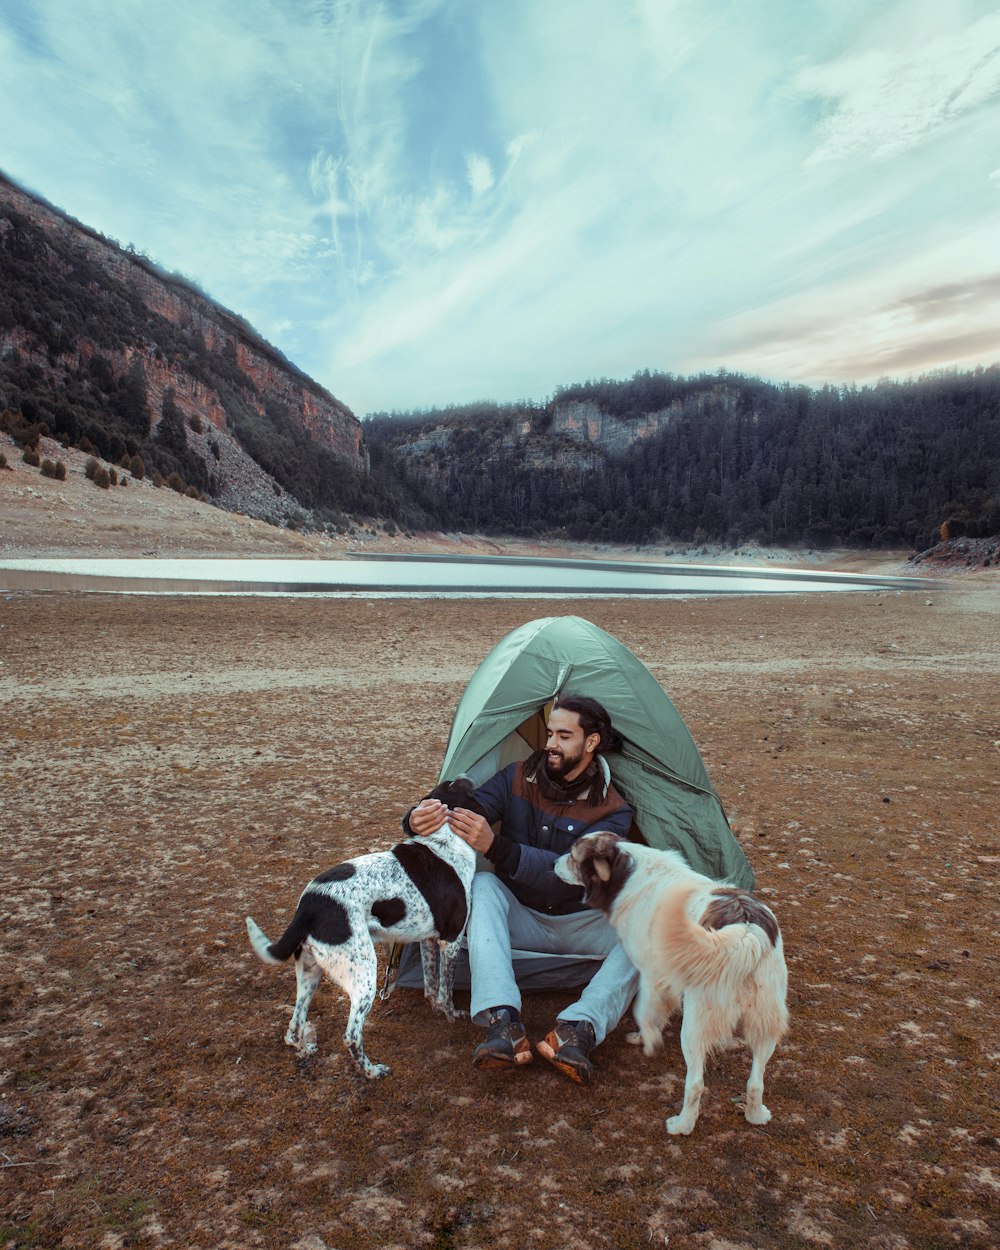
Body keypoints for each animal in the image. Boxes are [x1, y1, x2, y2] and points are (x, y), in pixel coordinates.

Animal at [248, 780, 485, 1075]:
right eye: (458, 785)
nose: (469, 777)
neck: (444, 840)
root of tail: (308, 905)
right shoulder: (450, 941)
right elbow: (446, 990)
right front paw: (451, 1015)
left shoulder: (428, 940)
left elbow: (432, 985)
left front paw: (436, 1009)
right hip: (364, 973)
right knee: (351, 1036)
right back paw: (372, 1071)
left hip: (310, 971)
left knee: (295, 1025)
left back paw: (305, 1050)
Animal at [550, 835, 785, 1140]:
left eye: (573, 856)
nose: (553, 863)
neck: (627, 870)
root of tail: (746, 930)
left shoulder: (652, 974)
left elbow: (643, 1012)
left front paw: (648, 1041)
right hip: (765, 1021)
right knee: (756, 1081)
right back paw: (756, 1115)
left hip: (696, 1025)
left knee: (696, 1084)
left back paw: (682, 1125)